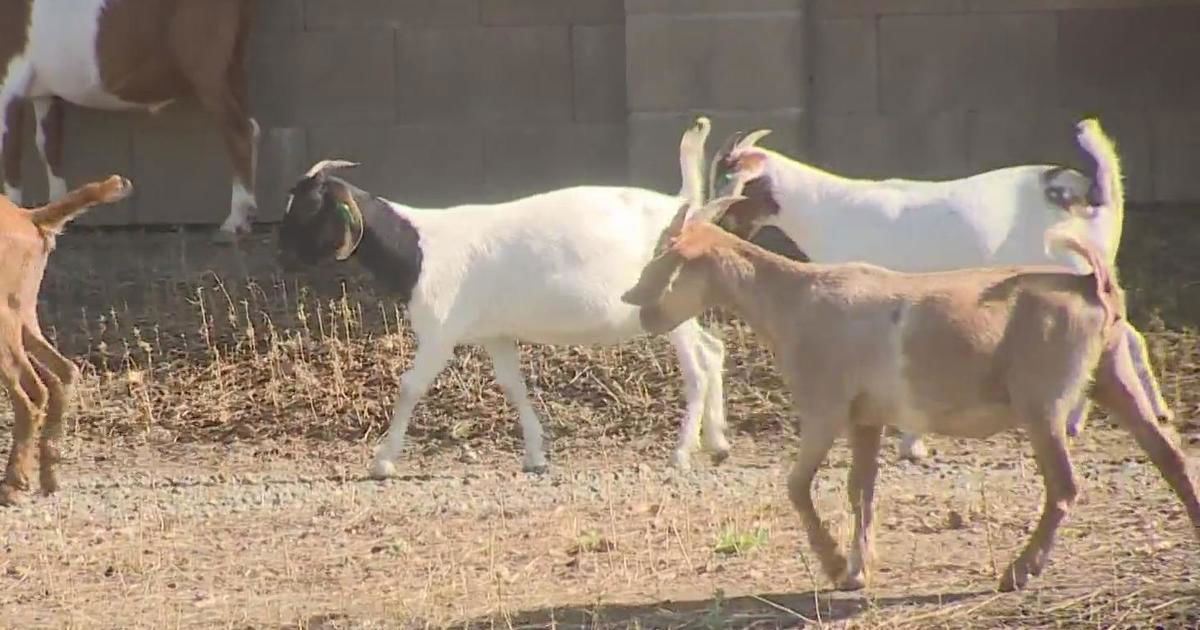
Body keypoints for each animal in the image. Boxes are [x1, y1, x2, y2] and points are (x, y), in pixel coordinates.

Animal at [0, 172, 132, 506]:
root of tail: (28, 218)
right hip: (23, 317)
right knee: (63, 373)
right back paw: (49, 478)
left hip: (4, 325)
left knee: (33, 392)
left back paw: (13, 484)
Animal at [1, 0, 255, 242]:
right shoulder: (44, 92)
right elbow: (49, 145)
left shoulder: (8, 85)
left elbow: (11, 157)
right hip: (233, 64)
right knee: (250, 126)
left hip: (206, 68)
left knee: (239, 132)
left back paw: (233, 223)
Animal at [278, 117, 729, 477]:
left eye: (309, 207)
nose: (281, 254)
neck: (420, 249)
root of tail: (681, 206)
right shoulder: (495, 335)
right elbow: (514, 386)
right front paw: (535, 457)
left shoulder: (440, 334)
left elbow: (410, 386)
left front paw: (382, 462)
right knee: (713, 350)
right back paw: (718, 444)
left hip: (669, 306)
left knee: (697, 369)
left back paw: (682, 452)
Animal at [619, 193, 1200, 595]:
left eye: (668, 253)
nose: (634, 302)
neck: (796, 300)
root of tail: (1091, 285)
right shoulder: (866, 418)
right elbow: (861, 491)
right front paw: (858, 569)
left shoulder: (825, 408)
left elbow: (797, 485)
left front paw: (836, 566)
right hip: (1113, 374)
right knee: (1169, 457)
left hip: (1044, 400)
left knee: (1064, 486)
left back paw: (1017, 572)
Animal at [705, 117, 1166, 458]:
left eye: (729, 184)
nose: (711, 225)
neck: (825, 208)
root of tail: (1093, 192)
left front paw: (909, 442)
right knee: (1127, 335)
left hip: (1073, 268)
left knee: (1123, 335)